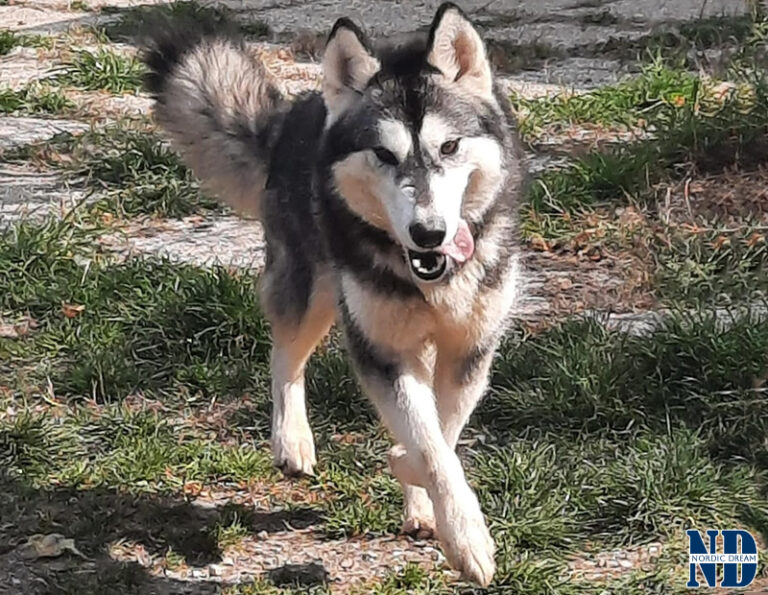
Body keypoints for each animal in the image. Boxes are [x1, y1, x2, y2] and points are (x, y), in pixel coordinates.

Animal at [141, 2, 524, 584]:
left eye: (451, 146)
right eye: (384, 154)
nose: (428, 233)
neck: (427, 278)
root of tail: (294, 113)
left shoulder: (471, 347)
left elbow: (443, 430)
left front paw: (415, 482)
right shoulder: (381, 350)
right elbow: (431, 445)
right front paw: (465, 536)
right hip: (312, 288)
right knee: (285, 355)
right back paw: (292, 439)